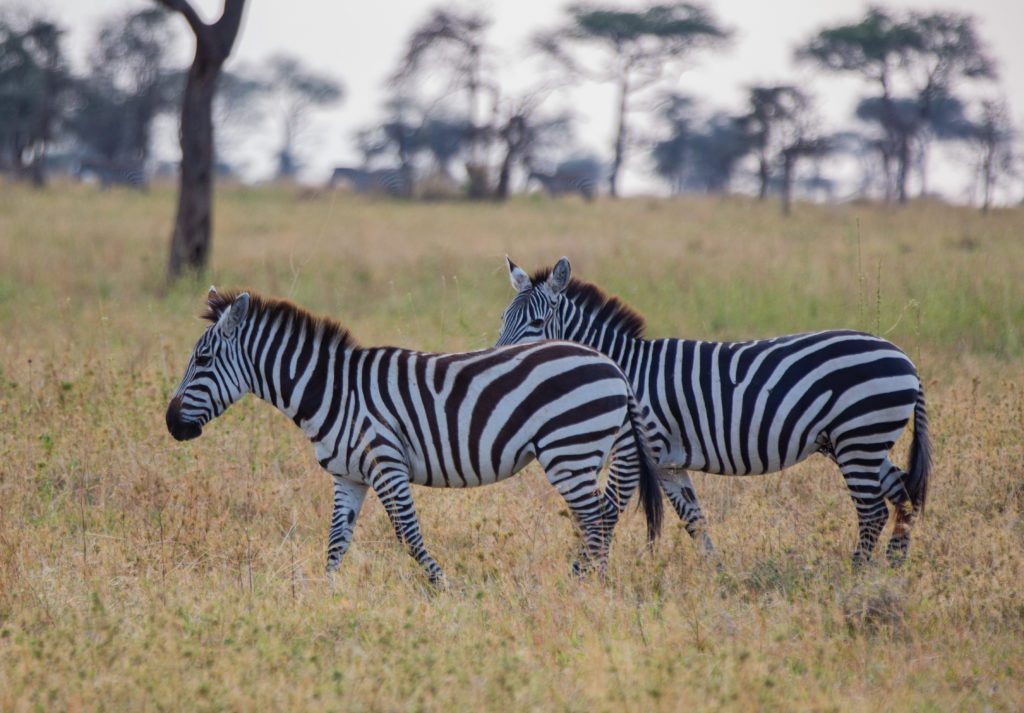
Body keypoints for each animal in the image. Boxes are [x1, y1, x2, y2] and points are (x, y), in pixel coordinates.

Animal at [165, 286, 663, 581]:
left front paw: (443, 588)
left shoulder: (386, 463)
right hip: (578, 451)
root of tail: (612, 364)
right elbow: (336, 543)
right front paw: (324, 596)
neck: (334, 391)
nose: (171, 424)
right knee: (599, 517)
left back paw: (590, 588)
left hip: (569, 449)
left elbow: (408, 534)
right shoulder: (349, 476)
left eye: (203, 360)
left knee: (597, 519)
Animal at [491, 257, 933, 569]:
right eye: (503, 318)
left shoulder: (631, 451)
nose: (500, 362)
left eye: (536, 322)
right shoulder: (667, 463)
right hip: (862, 444)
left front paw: (584, 571)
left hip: (860, 437)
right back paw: (893, 568)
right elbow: (694, 519)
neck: (625, 368)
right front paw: (715, 572)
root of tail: (905, 358)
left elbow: (607, 511)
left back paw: (858, 572)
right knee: (903, 495)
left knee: (873, 510)